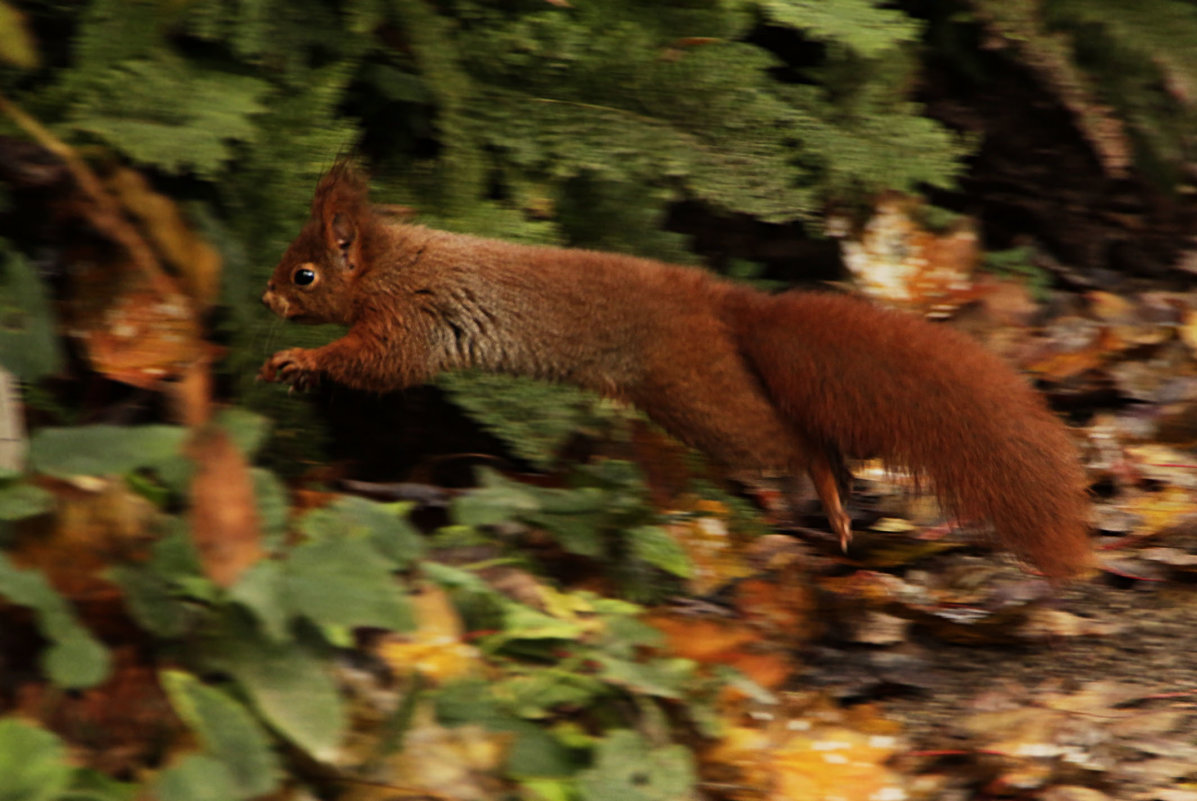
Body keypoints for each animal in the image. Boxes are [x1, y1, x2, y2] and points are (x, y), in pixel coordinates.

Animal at [259, 162, 1096, 574]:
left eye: (304, 273)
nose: (266, 297)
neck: (390, 262)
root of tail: (728, 308)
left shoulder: (413, 319)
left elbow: (376, 361)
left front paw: (300, 357)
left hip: (702, 397)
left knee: (796, 440)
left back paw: (829, 493)